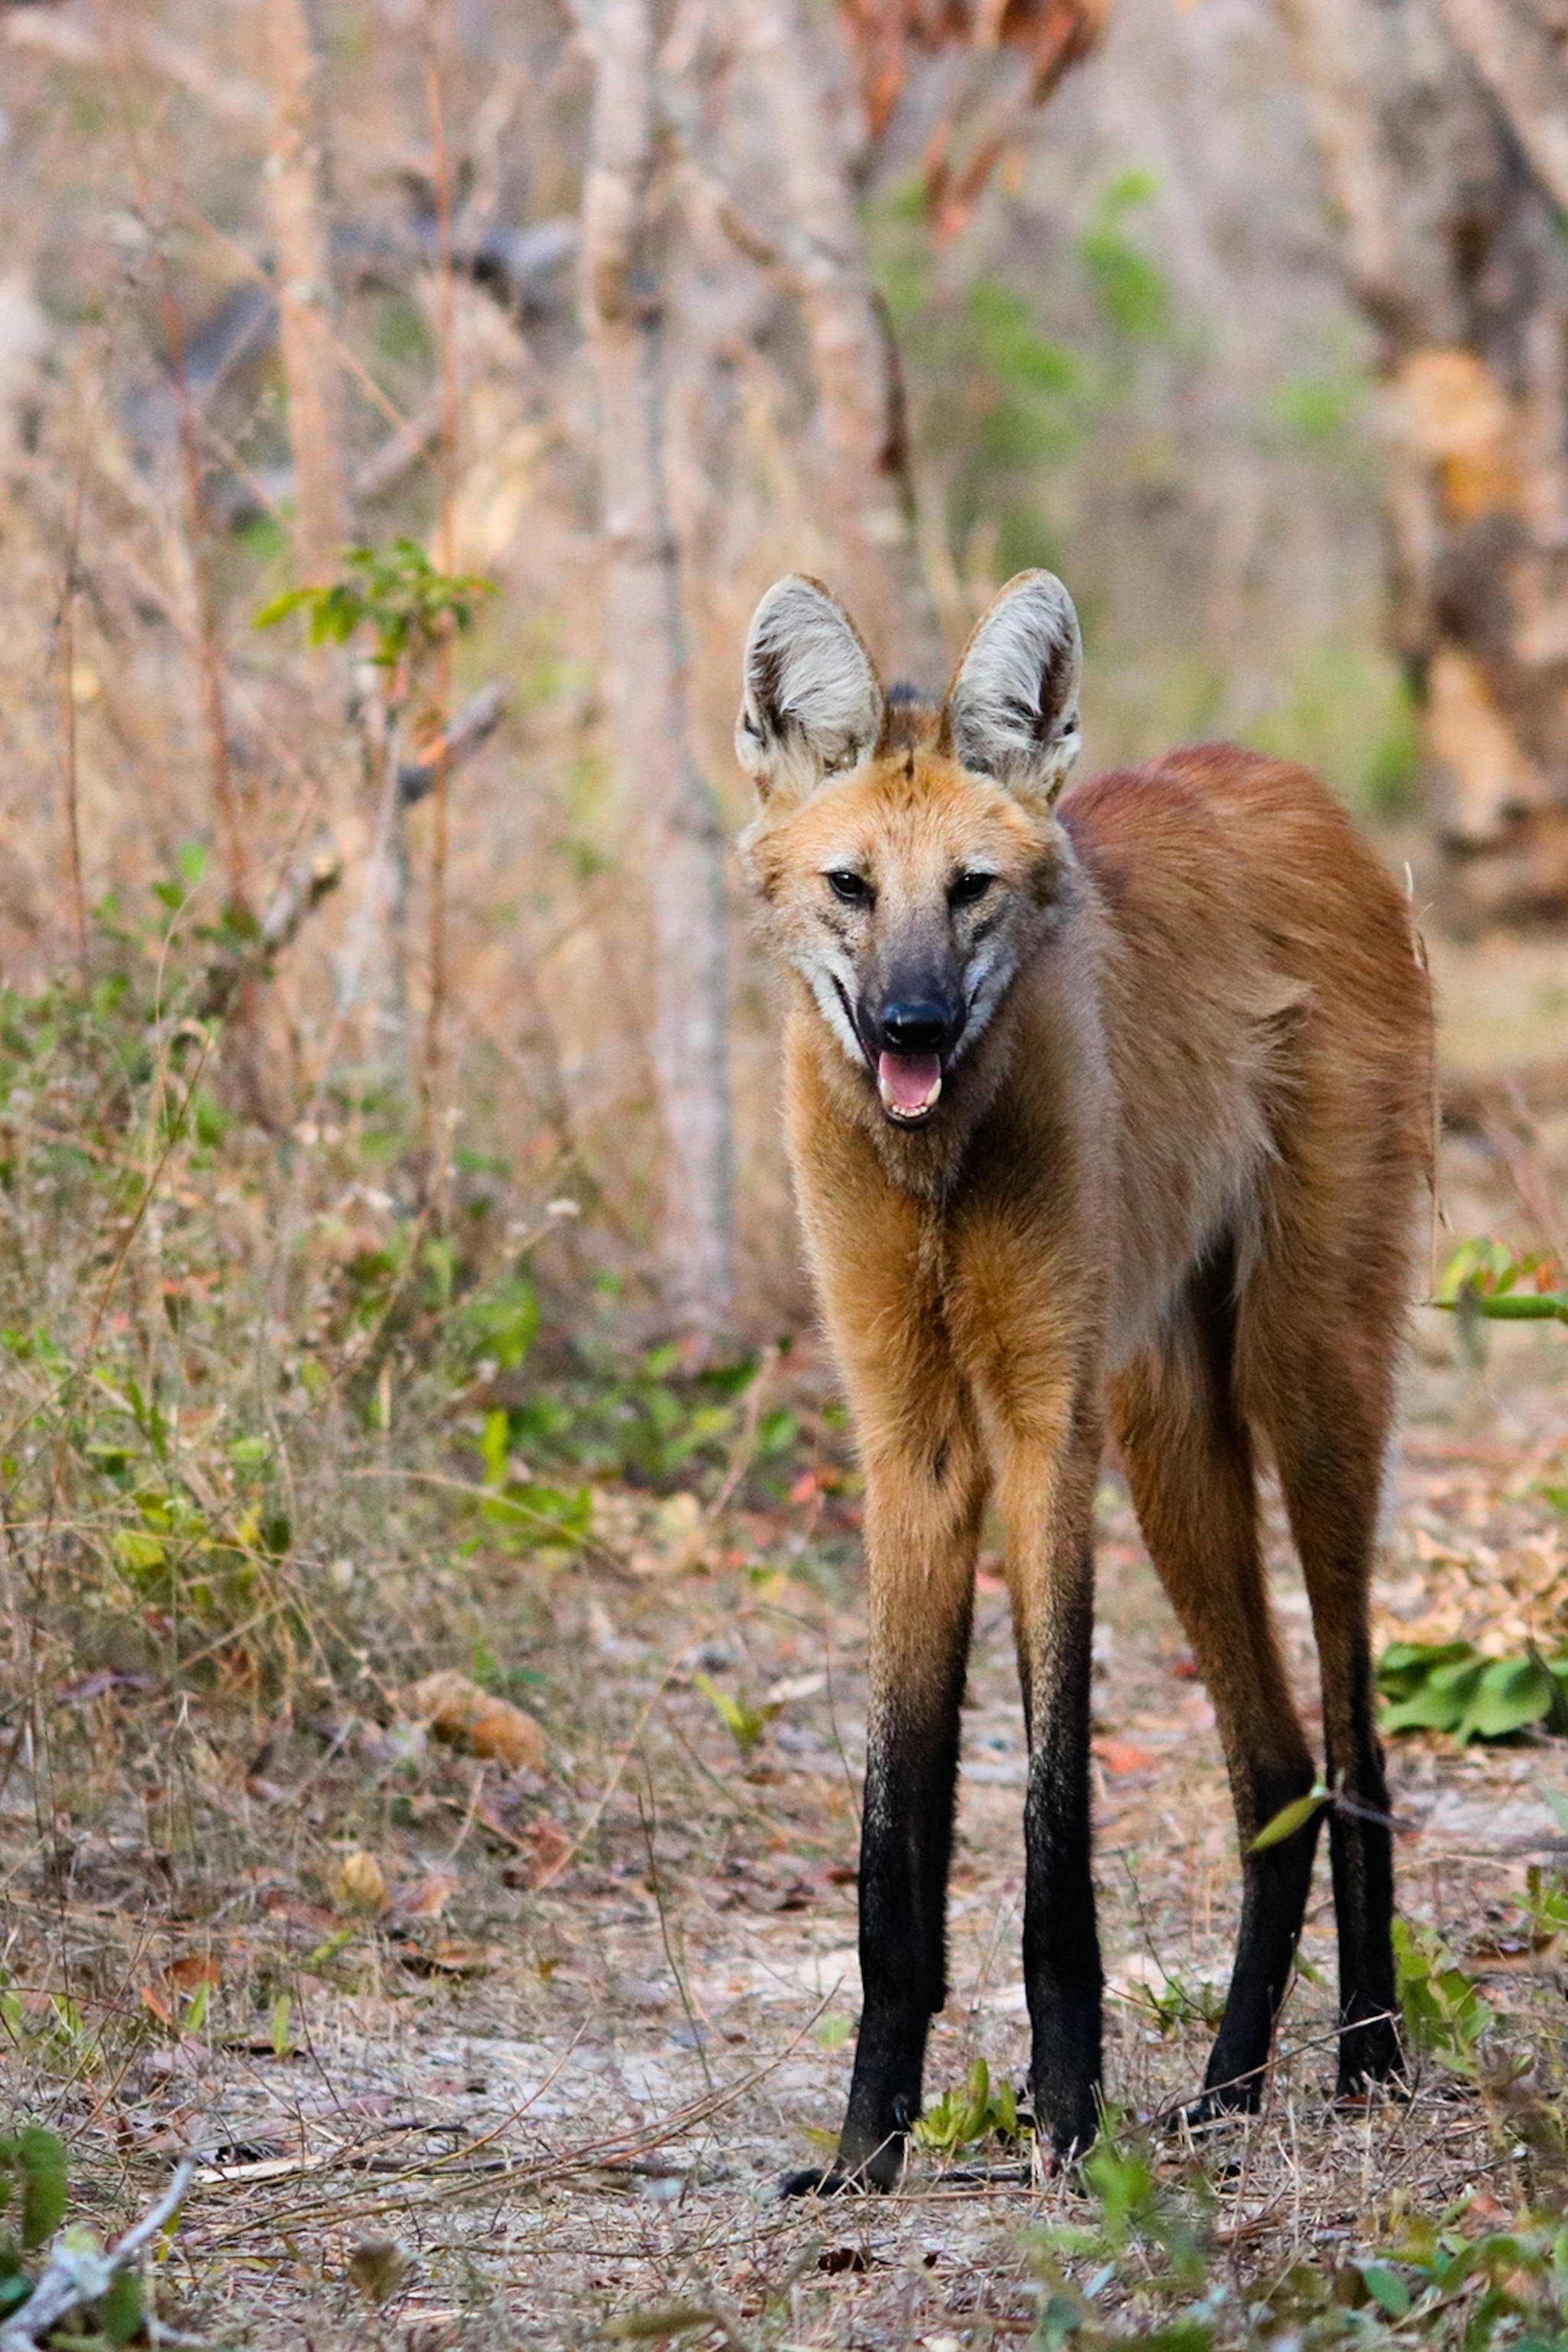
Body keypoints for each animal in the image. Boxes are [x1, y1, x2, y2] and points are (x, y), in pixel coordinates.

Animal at [736, 569, 1433, 2192]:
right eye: (851, 888)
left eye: (969, 891)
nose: (912, 1027)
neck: (933, 1167)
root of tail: (1291, 780)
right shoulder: (914, 1444)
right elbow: (894, 1835)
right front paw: (864, 2148)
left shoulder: (1040, 1430)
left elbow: (1053, 1824)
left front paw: (1062, 2119)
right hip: (1166, 1430)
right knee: (1272, 1765)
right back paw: (1229, 2088)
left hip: (1300, 1373)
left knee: (1350, 1730)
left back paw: (1366, 2057)